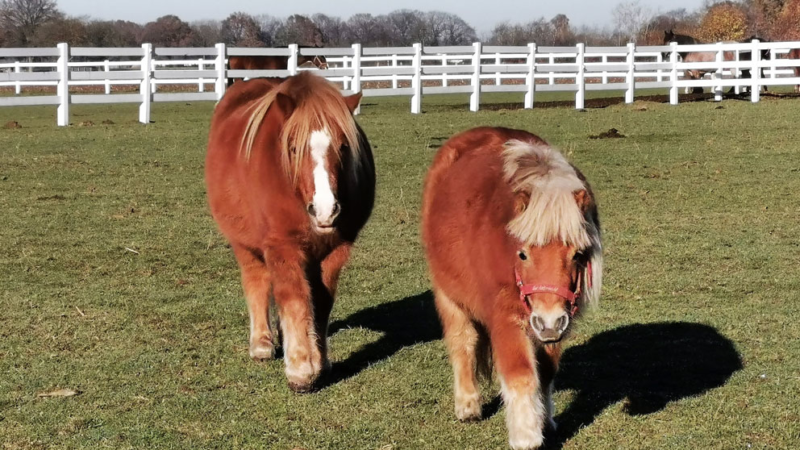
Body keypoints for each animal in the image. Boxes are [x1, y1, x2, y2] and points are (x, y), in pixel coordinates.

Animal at [206, 72, 376, 392]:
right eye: (294, 147)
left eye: (343, 146)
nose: (325, 209)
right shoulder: (282, 246)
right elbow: (294, 300)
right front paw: (300, 371)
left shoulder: (335, 250)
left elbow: (320, 302)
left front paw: (320, 362)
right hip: (245, 245)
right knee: (258, 282)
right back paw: (261, 343)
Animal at [422, 126, 604, 450]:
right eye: (523, 254)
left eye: (577, 255)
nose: (548, 322)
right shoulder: (505, 317)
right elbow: (521, 375)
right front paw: (526, 438)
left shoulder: (555, 326)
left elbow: (546, 373)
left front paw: (545, 422)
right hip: (448, 296)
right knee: (462, 342)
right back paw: (467, 405)